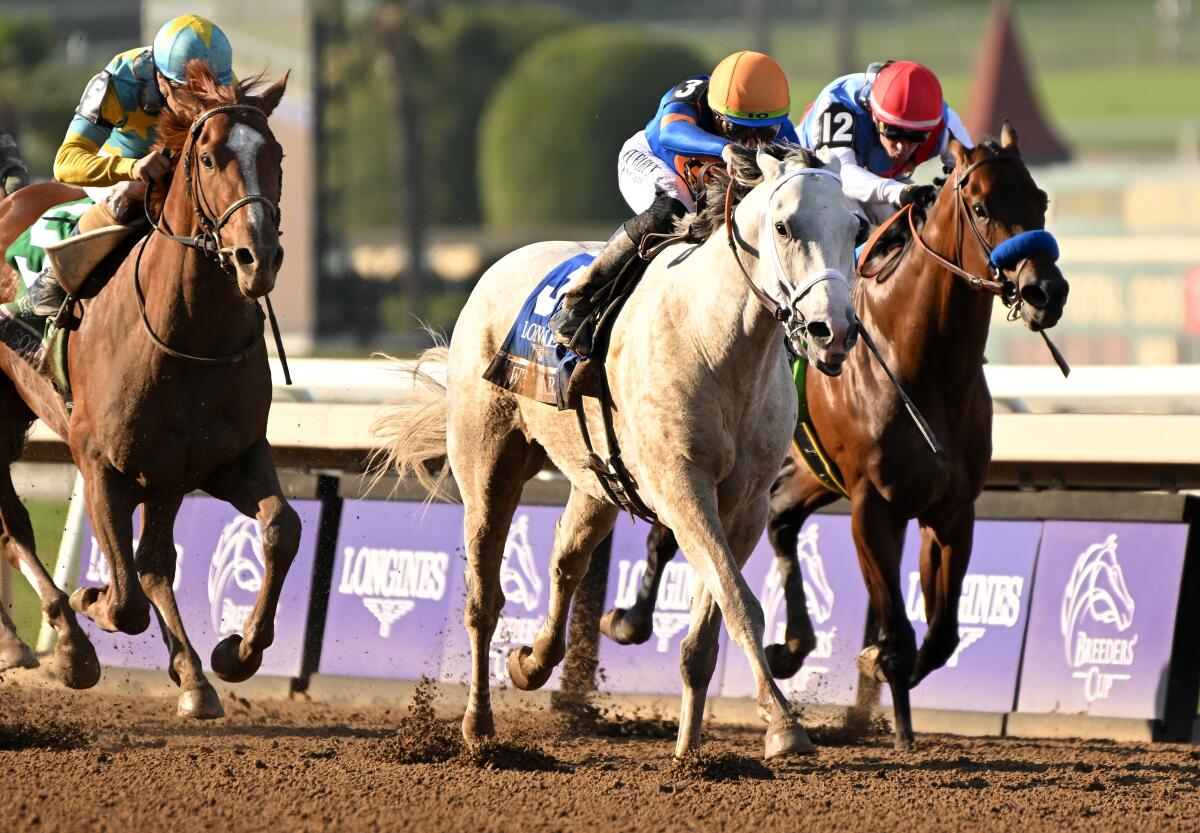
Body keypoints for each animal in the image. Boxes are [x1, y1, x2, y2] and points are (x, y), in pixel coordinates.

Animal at [0, 62, 302, 720]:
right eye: (209, 157)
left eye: (276, 154)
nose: (258, 257)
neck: (186, 333)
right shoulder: (98, 463)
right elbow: (125, 600)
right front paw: (87, 599)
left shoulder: (222, 459)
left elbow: (280, 529)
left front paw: (235, 652)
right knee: (16, 528)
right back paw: (64, 643)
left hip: (156, 473)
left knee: (154, 564)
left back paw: (191, 676)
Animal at [376, 145, 864, 763]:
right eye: (783, 226)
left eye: (856, 228)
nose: (834, 331)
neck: (717, 342)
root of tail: (495, 269)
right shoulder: (682, 488)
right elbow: (740, 602)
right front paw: (783, 724)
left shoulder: (746, 505)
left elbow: (708, 629)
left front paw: (690, 752)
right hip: (487, 465)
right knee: (484, 597)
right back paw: (479, 728)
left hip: (599, 482)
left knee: (566, 558)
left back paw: (532, 662)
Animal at [600, 122, 1070, 748]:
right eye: (982, 207)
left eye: (1040, 200)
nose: (1047, 291)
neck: (927, 367)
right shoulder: (873, 506)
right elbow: (898, 631)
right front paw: (882, 681)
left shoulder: (951, 509)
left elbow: (940, 636)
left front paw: (891, 704)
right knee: (671, 533)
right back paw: (632, 619)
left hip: (808, 473)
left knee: (780, 520)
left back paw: (792, 644)